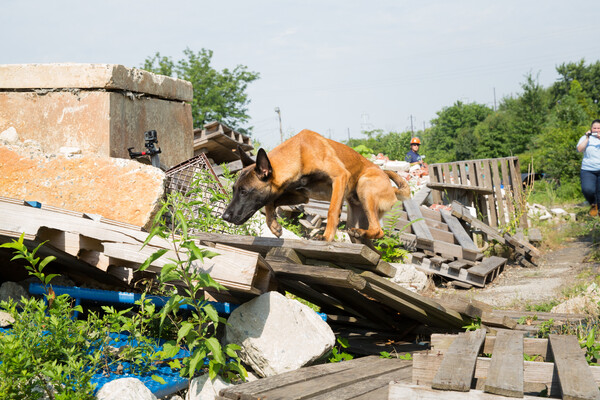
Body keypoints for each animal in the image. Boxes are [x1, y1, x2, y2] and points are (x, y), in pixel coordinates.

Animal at [221, 130, 412, 241]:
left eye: (244, 192)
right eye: (234, 190)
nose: (225, 216)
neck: (299, 153)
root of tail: (393, 189)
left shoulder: (340, 177)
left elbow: (332, 211)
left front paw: (326, 236)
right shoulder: (300, 195)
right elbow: (270, 201)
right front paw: (273, 225)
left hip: (364, 186)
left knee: (379, 230)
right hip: (356, 214)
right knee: (373, 232)